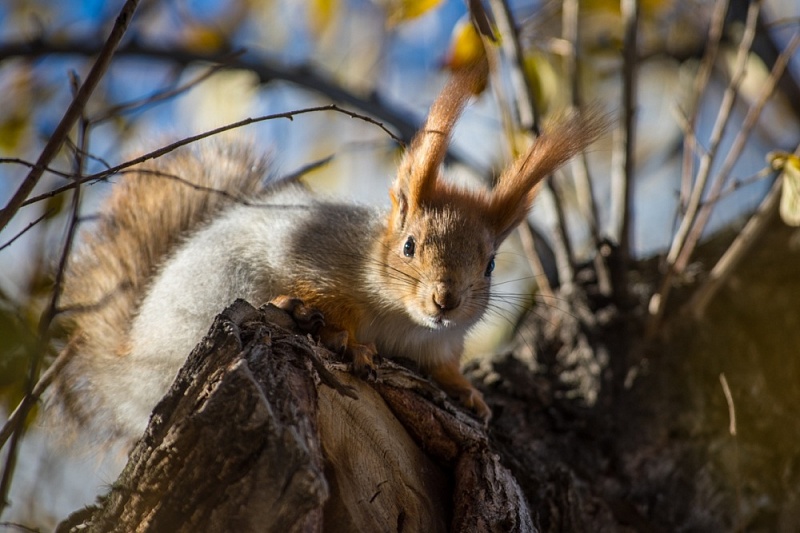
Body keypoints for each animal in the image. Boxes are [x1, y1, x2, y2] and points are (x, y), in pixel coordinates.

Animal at [53, 60, 604, 442]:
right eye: (409, 245)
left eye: (489, 264)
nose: (445, 302)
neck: (402, 319)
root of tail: (132, 367)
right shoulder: (311, 255)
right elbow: (328, 301)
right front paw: (352, 342)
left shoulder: (440, 342)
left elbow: (446, 365)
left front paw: (469, 393)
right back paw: (291, 310)